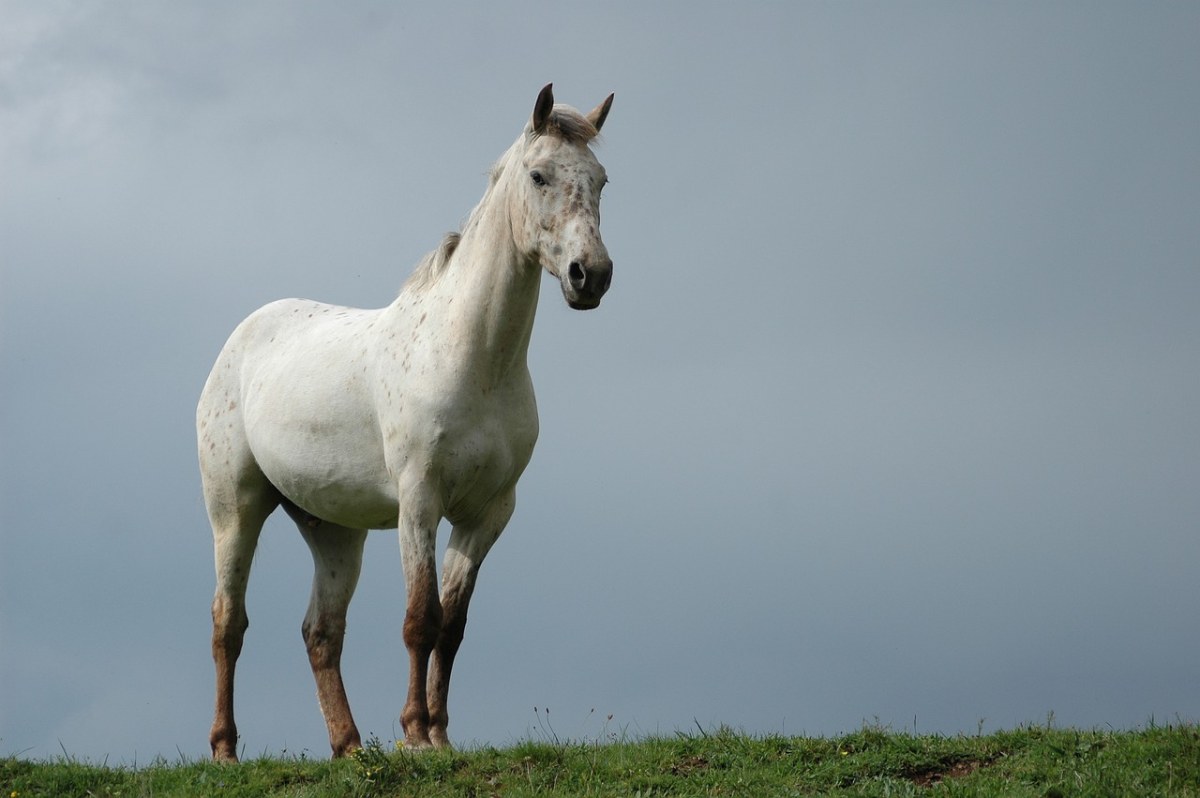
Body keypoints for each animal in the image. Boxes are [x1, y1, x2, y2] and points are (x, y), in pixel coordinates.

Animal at [195, 84, 614, 763]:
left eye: (601, 180)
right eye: (539, 175)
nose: (591, 275)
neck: (473, 360)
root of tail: (241, 339)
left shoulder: (487, 513)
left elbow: (453, 625)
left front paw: (440, 732)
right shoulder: (420, 502)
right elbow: (421, 618)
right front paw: (416, 733)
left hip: (335, 533)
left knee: (321, 633)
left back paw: (349, 747)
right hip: (235, 510)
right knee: (228, 623)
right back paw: (226, 750)